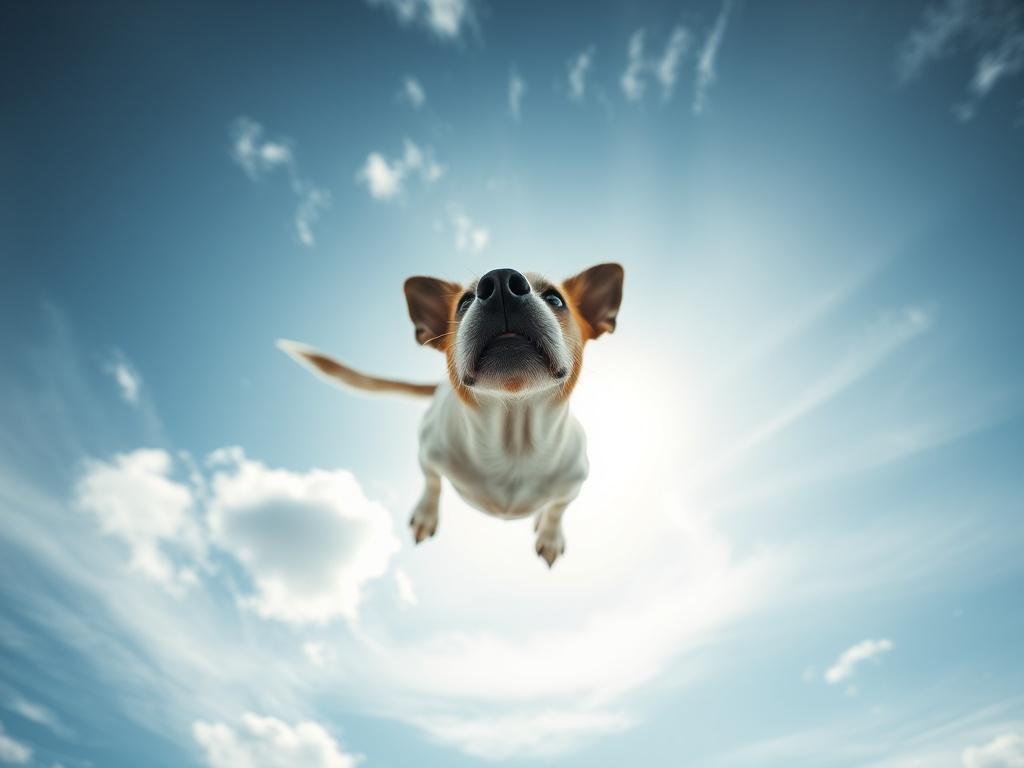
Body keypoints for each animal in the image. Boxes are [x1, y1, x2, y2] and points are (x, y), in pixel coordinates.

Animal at [276, 262, 622, 569]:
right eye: (464, 302)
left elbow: (555, 511)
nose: (500, 282)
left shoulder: (571, 486)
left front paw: (549, 536)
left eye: (555, 299)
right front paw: (426, 514)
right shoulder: (428, 454)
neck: (513, 442)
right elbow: (432, 484)